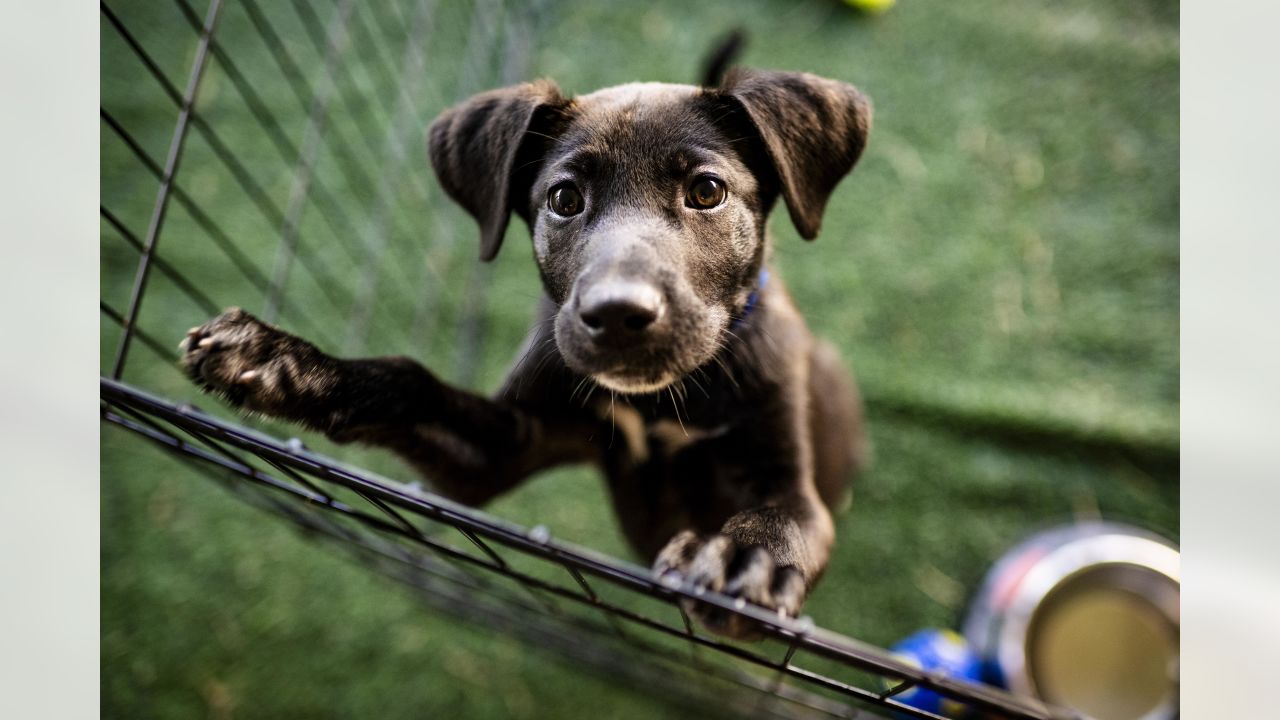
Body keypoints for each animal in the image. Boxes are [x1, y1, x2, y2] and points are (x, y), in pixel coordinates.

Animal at [185, 68, 875, 638]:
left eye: (707, 191)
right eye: (564, 200)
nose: (617, 315)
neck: (659, 403)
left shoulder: (785, 473)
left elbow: (783, 519)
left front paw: (741, 559)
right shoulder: (499, 449)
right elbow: (409, 383)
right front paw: (285, 362)